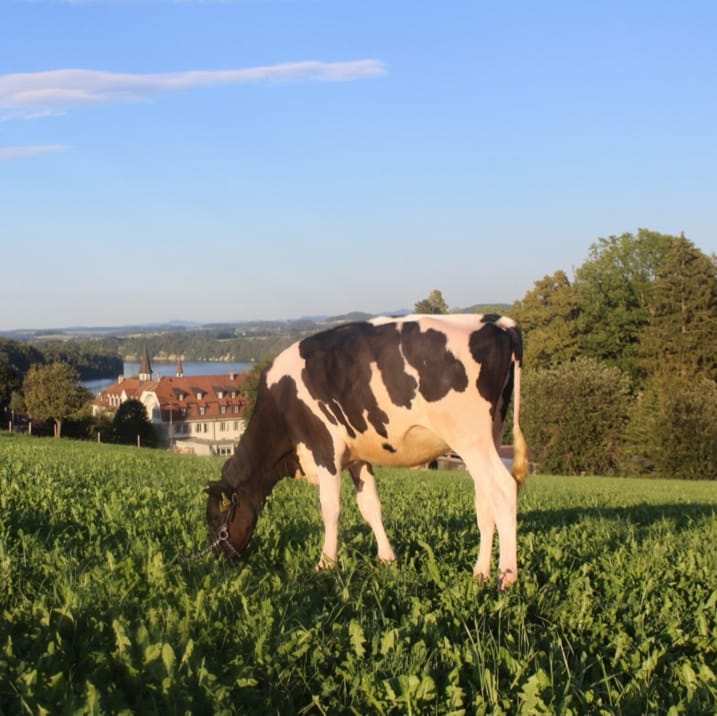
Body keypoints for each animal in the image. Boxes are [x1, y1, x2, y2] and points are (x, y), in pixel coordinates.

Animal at [205, 313, 528, 588]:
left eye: (214, 520)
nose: (216, 558)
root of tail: (495, 321)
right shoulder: (356, 457)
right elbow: (370, 505)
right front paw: (386, 558)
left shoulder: (325, 448)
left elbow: (330, 508)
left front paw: (325, 563)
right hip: (488, 437)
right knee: (485, 501)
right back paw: (480, 573)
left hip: (471, 438)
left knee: (504, 489)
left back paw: (507, 577)